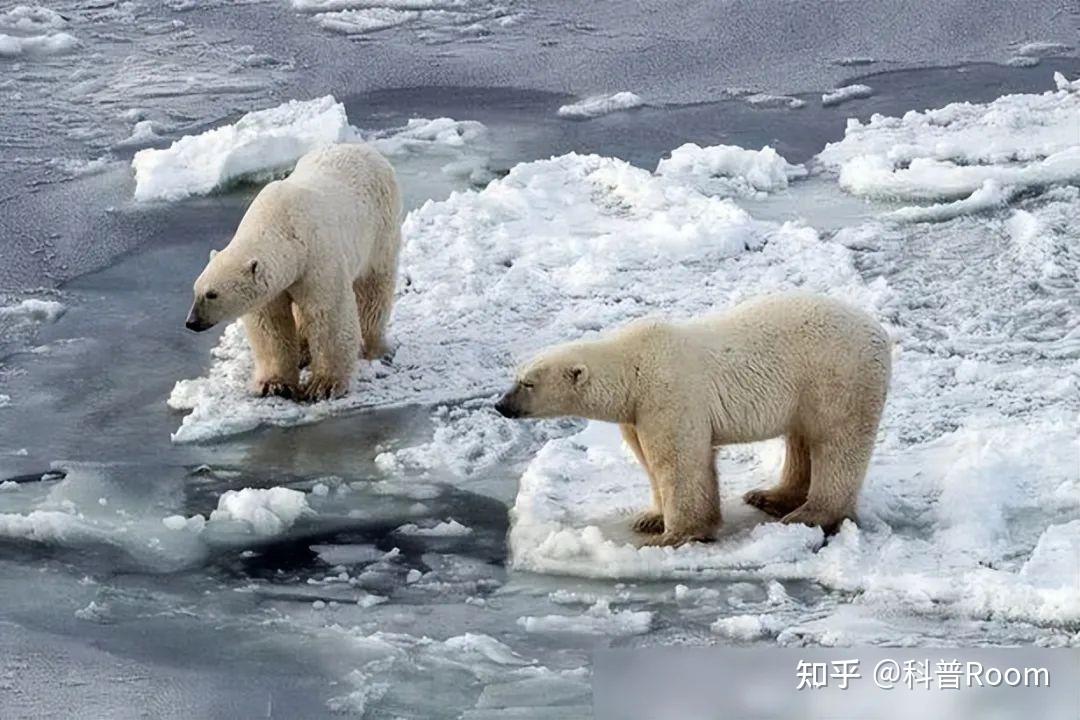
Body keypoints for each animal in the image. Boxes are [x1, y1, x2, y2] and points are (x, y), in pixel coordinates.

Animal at [185, 143, 402, 401]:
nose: (191, 322)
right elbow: (271, 325)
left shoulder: (318, 259)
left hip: (379, 231)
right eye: (195, 291)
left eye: (212, 294)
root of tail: (365, 149)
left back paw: (373, 348)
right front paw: (274, 384)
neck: (283, 227)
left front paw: (323, 385)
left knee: (373, 291)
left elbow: (329, 313)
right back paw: (303, 350)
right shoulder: (277, 285)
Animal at [495, 292, 891, 547]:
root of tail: (880, 332)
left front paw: (675, 534)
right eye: (516, 376)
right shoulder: (637, 413)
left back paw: (811, 514)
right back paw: (769, 497)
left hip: (836, 376)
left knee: (836, 442)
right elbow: (648, 460)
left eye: (527, 383)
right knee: (801, 438)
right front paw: (650, 517)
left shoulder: (668, 395)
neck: (634, 367)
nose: (501, 405)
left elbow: (679, 462)